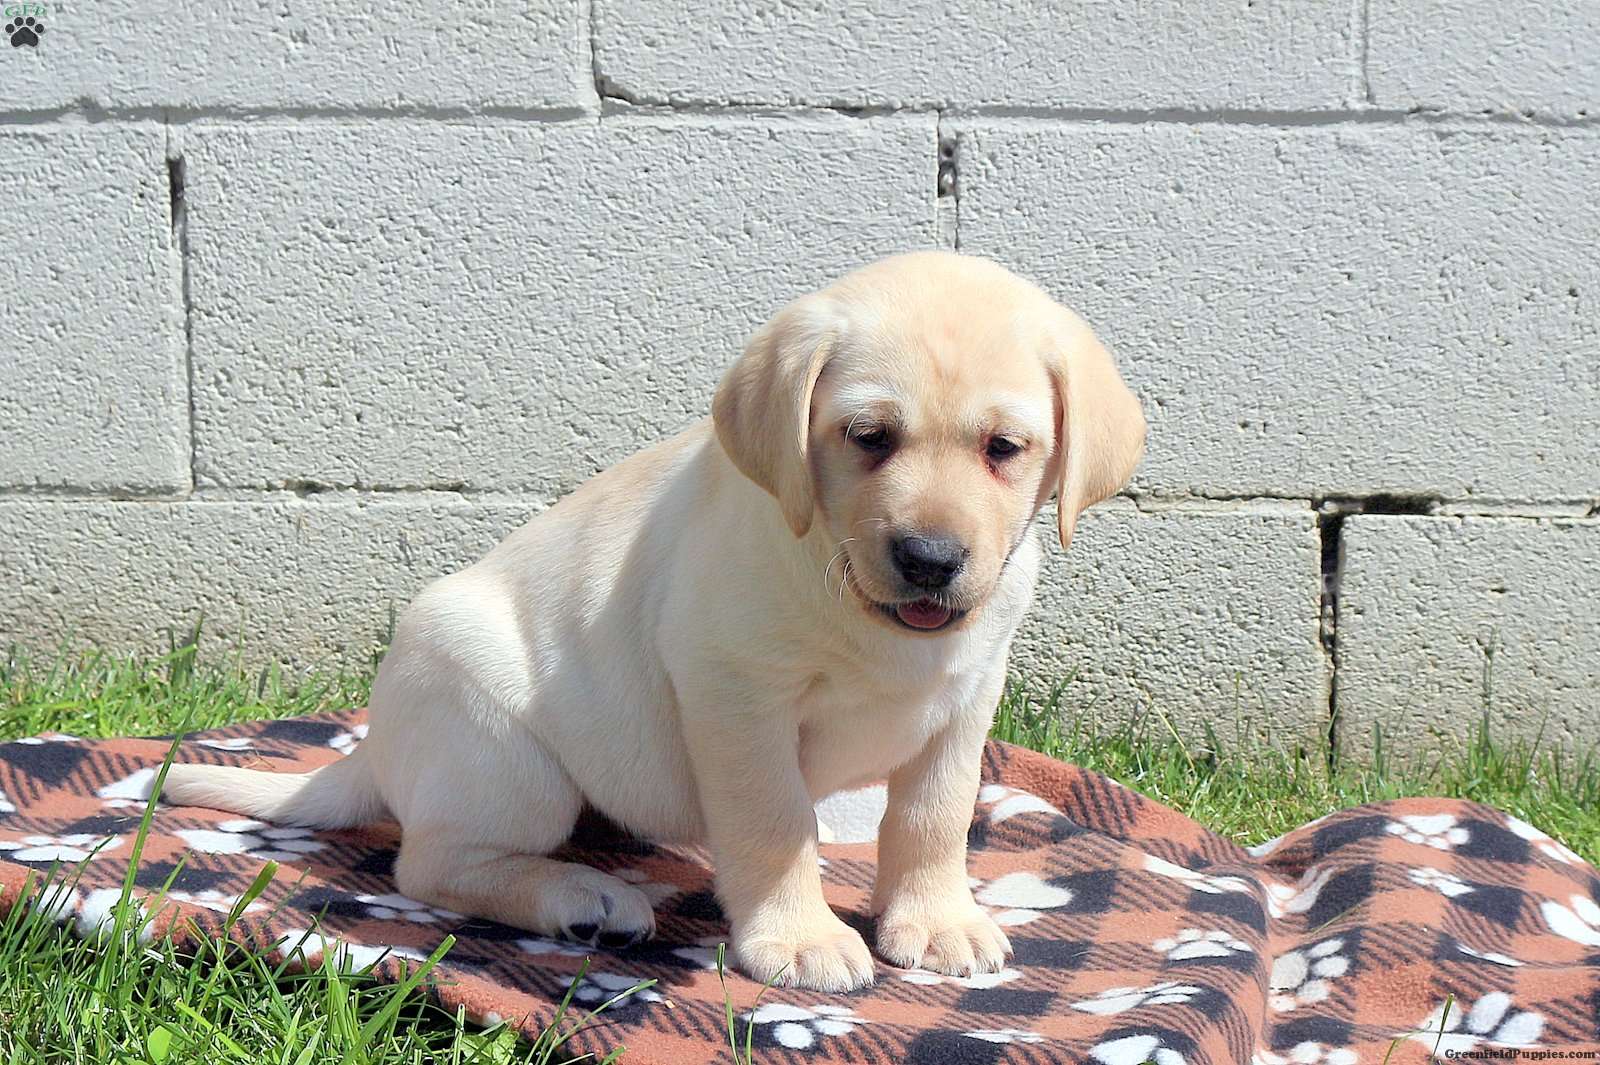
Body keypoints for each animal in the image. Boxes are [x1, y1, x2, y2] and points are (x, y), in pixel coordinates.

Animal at [162, 249, 1145, 985]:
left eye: (1004, 448)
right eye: (868, 437)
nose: (931, 559)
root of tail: (376, 747)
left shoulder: (966, 696)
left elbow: (934, 817)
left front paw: (937, 919)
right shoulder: (736, 693)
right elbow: (773, 822)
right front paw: (799, 936)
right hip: (503, 751)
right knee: (433, 863)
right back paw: (582, 897)